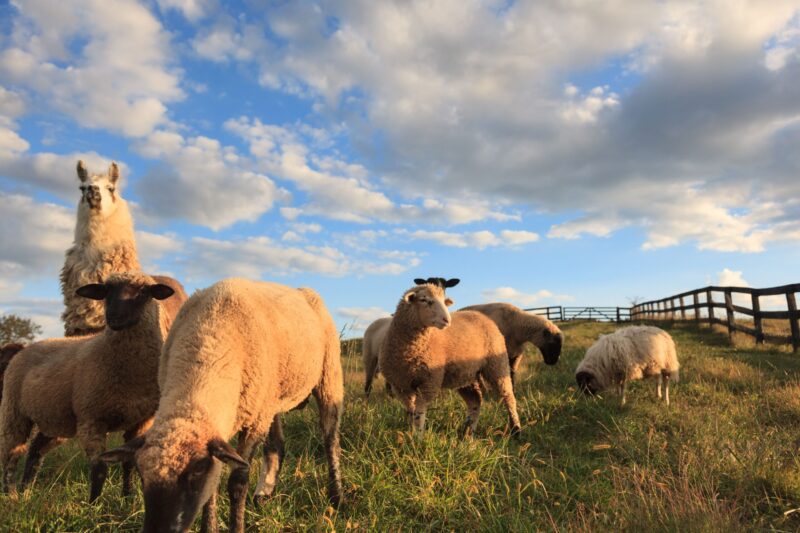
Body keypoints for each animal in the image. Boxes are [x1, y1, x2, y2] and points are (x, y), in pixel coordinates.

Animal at [0, 272, 184, 500]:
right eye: (105, 292)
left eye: (144, 292)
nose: (114, 318)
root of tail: (24, 349)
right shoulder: (92, 419)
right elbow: (99, 469)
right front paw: (93, 503)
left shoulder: (141, 421)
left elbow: (128, 463)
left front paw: (128, 497)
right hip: (14, 411)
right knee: (11, 454)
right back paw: (11, 495)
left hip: (56, 418)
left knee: (35, 450)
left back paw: (26, 491)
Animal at [97, 278, 344, 532]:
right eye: (141, 472)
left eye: (197, 470)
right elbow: (212, 490)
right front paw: (209, 527)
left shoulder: (253, 423)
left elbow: (237, 483)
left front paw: (236, 526)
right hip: (271, 398)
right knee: (277, 444)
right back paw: (264, 495)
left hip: (328, 376)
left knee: (330, 438)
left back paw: (337, 497)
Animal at [380, 282, 520, 436]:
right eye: (424, 300)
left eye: (444, 302)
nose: (447, 320)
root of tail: (481, 315)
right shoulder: (401, 386)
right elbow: (411, 413)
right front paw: (411, 434)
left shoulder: (429, 382)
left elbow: (419, 413)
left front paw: (418, 436)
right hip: (466, 375)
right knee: (475, 401)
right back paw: (468, 432)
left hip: (496, 365)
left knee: (508, 397)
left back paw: (516, 429)